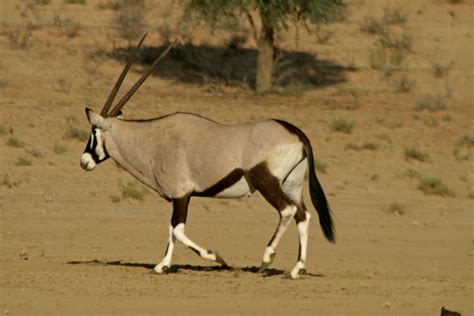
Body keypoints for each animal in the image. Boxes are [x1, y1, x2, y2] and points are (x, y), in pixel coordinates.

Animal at [80, 33, 334, 278]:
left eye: (94, 132)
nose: (84, 161)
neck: (153, 139)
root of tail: (296, 133)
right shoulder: (180, 197)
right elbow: (172, 229)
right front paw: (163, 266)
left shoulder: (181, 194)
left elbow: (177, 230)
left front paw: (217, 258)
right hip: (291, 184)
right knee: (303, 215)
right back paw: (296, 269)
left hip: (266, 182)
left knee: (287, 211)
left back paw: (266, 259)